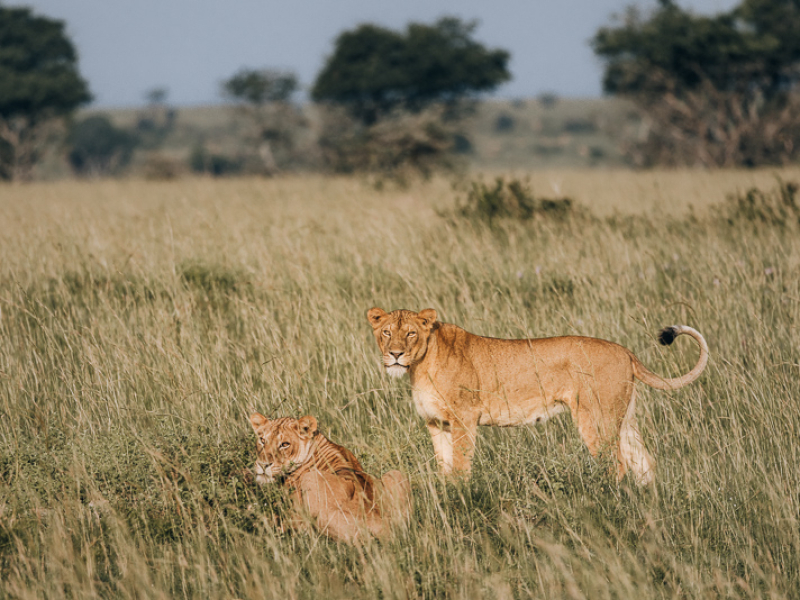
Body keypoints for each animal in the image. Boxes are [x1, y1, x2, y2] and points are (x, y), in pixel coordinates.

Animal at [250, 414, 412, 540]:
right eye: (262, 440)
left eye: (285, 444)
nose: (263, 465)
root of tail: (379, 522)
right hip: (396, 474)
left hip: (312, 481)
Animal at [366, 308, 708, 486]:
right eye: (387, 332)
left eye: (410, 333)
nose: (395, 354)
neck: (420, 366)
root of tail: (625, 351)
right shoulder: (437, 424)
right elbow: (444, 468)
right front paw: (448, 494)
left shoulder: (464, 419)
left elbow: (461, 466)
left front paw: (461, 498)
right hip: (622, 419)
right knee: (645, 464)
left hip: (595, 417)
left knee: (617, 465)